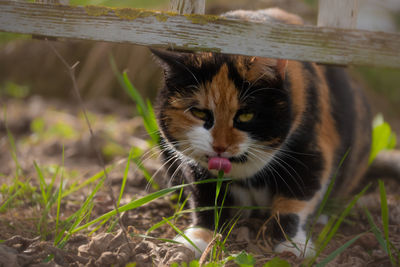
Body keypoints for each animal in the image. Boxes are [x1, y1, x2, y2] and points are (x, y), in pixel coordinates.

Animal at [150, 8, 372, 260]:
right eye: (198, 112)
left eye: (246, 115)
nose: (220, 146)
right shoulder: (195, 167)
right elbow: (205, 200)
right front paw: (197, 238)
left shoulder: (311, 152)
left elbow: (295, 201)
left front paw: (292, 246)